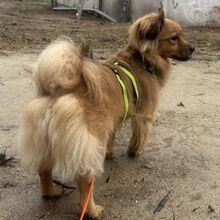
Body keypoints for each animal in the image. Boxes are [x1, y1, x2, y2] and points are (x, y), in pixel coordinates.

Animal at [18, 9, 194, 218]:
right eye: (174, 38)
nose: (193, 48)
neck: (140, 60)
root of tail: (66, 88)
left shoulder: (113, 121)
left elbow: (112, 138)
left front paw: (110, 154)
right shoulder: (143, 116)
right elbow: (138, 137)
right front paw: (135, 152)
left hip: (45, 142)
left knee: (44, 170)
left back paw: (51, 192)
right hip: (92, 139)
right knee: (84, 181)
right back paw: (92, 210)